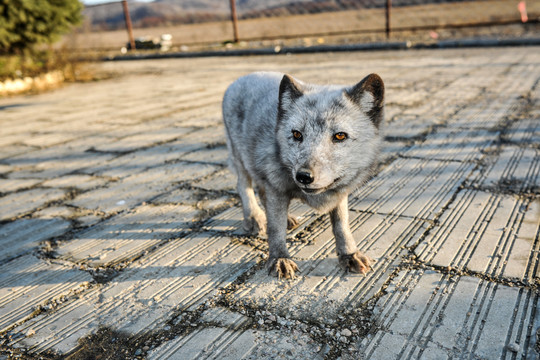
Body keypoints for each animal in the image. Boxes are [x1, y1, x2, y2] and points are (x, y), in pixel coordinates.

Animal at [223, 70, 384, 278]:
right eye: (297, 134)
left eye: (340, 136)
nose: (304, 177)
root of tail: (243, 77)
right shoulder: (276, 187)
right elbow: (275, 228)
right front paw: (279, 258)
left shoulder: (339, 192)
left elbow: (342, 225)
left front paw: (349, 254)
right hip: (241, 159)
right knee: (243, 186)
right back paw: (255, 217)